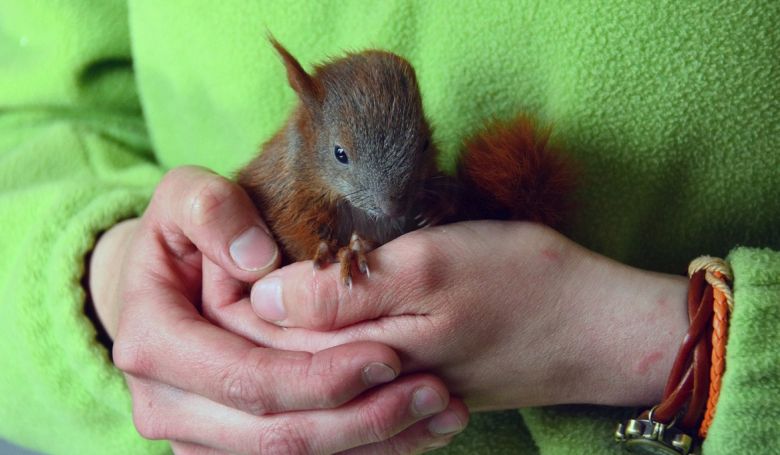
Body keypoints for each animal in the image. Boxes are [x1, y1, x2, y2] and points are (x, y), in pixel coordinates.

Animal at [236, 41, 572, 286]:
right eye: (339, 153)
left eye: (425, 144)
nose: (394, 208)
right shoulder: (283, 188)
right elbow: (291, 228)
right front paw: (341, 251)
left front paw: (439, 206)